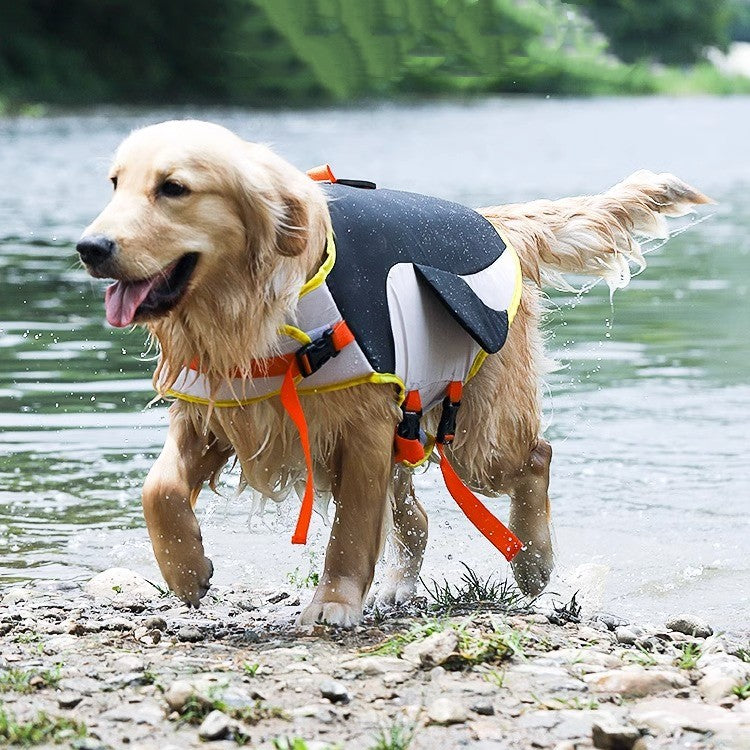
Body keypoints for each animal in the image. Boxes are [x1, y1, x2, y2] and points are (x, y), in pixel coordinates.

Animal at [78, 122, 712, 628]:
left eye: (174, 188)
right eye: (114, 183)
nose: (90, 247)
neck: (252, 311)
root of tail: (492, 220)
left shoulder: (359, 428)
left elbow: (352, 530)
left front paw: (333, 602)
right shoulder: (218, 413)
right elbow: (158, 489)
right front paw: (187, 571)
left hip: (476, 435)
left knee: (535, 456)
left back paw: (534, 562)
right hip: (405, 424)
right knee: (421, 516)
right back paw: (401, 587)